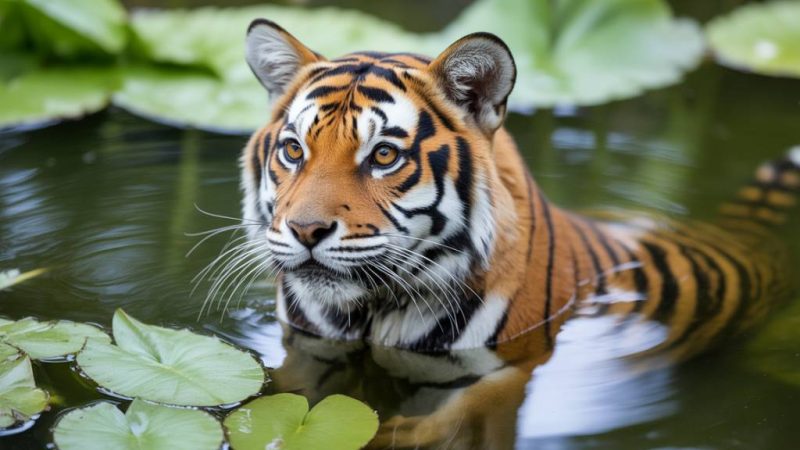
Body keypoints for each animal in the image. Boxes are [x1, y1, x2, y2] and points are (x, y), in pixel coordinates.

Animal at [236, 19, 800, 449]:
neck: (371, 311)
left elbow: (465, 408)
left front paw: (398, 432)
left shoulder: (514, 364)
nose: (306, 229)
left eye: (384, 155)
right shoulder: (306, 348)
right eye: (293, 150)